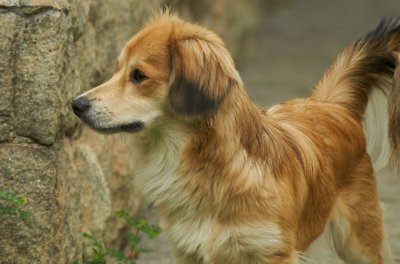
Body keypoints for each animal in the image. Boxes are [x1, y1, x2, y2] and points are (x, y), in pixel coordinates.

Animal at [72, 12, 400, 264]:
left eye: (138, 75)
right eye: (116, 70)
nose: (76, 104)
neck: (209, 169)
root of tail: (331, 105)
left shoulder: (271, 251)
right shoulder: (188, 249)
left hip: (359, 242)